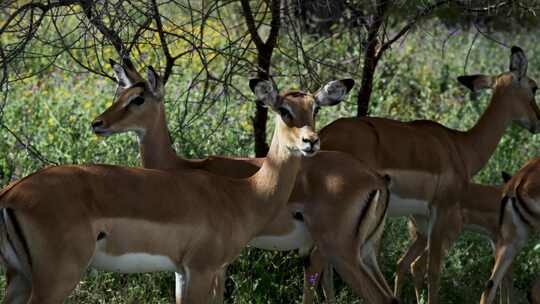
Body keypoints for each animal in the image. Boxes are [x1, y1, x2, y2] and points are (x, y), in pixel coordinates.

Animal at [0, 76, 338, 304]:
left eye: (314, 109)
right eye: (284, 110)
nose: (311, 141)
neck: (243, 194)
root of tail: (11, 195)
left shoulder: (186, 271)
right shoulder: (202, 269)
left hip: (20, 278)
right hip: (54, 280)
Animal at [90, 58, 396, 304]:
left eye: (137, 99)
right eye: (120, 93)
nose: (98, 123)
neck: (181, 166)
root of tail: (376, 179)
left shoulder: (216, 264)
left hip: (340, 251)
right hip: (363, 251)